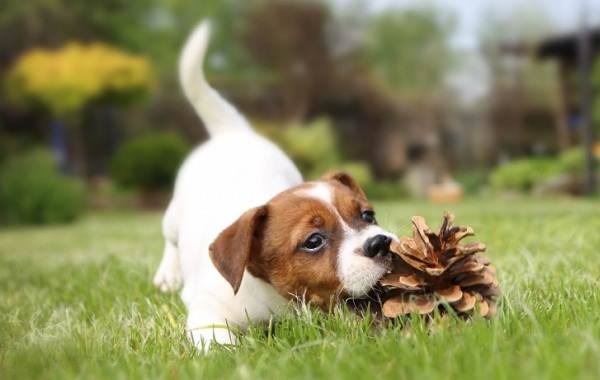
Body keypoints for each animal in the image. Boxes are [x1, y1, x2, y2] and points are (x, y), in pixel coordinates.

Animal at [152, 20, 396, 348]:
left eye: (368, 215)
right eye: (313, 241)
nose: (381, 242)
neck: (277, 298)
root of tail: (233, 133)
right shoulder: (208, 311)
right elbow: (218, 341)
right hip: (174, 215)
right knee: (170, 240)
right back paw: (168, 275)